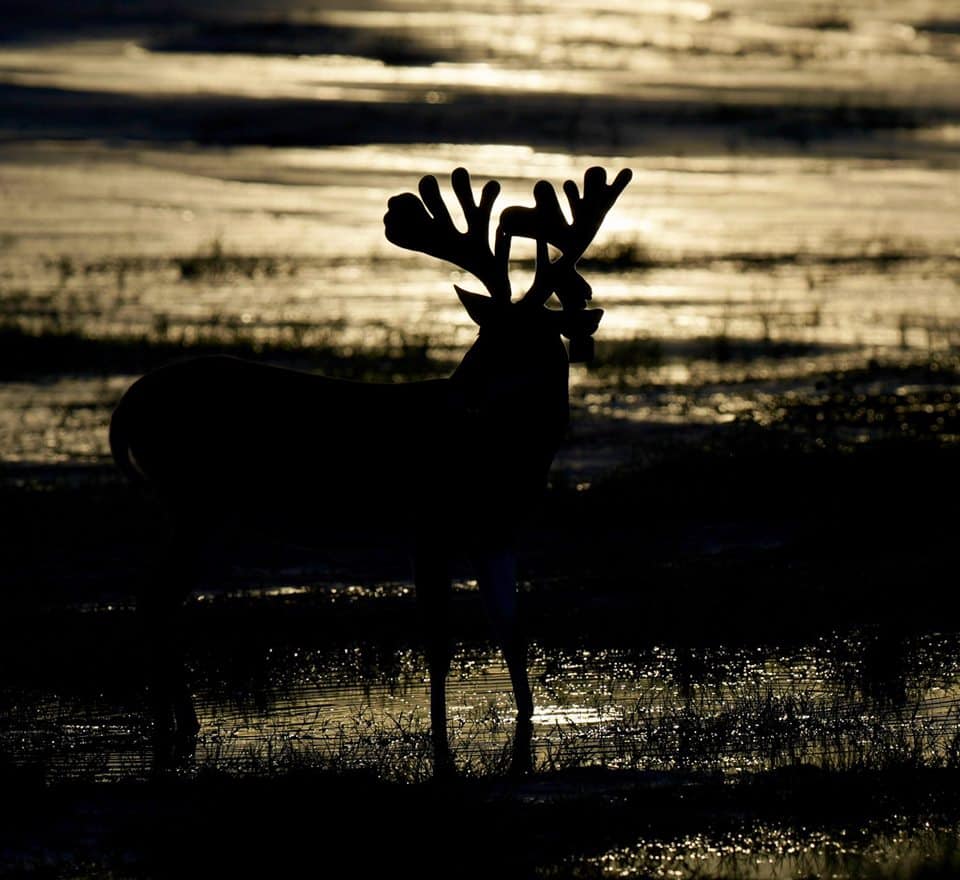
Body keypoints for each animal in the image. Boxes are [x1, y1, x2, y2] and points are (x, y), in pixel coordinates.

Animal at [109, 165, 632, 776]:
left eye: (520, 341)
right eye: (482, 334)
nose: (460, 392)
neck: (504, 454)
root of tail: (127, 406)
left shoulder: (495, 532)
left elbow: (513, 636)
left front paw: (525, 727)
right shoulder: (430, 522)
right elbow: (439, 643)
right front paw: (440, 741)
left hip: (194, 504)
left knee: (158, 599)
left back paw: (178, 723)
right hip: (195, 499)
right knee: (155, 597)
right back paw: (174, 726)